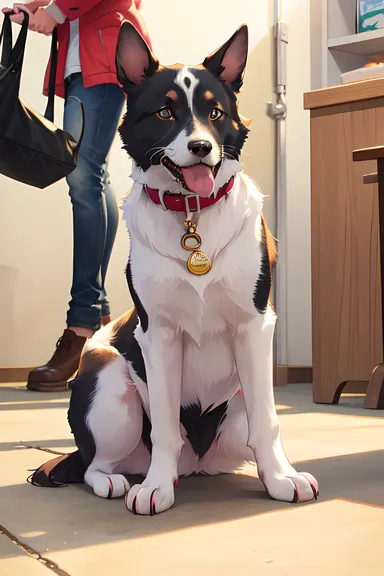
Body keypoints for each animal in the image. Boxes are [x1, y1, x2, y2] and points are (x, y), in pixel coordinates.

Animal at [29, 23, 318, 516]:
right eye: (165, 112)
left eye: (215, 112)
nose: (201, 147)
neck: (192, 214)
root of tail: (197, 464)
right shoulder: (159, 335)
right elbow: (164, 426)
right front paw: (155, 487)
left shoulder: (254, 326)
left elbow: (268, 422)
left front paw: (281, 478)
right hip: (108, 380)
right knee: (94, 464)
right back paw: (121, 480)